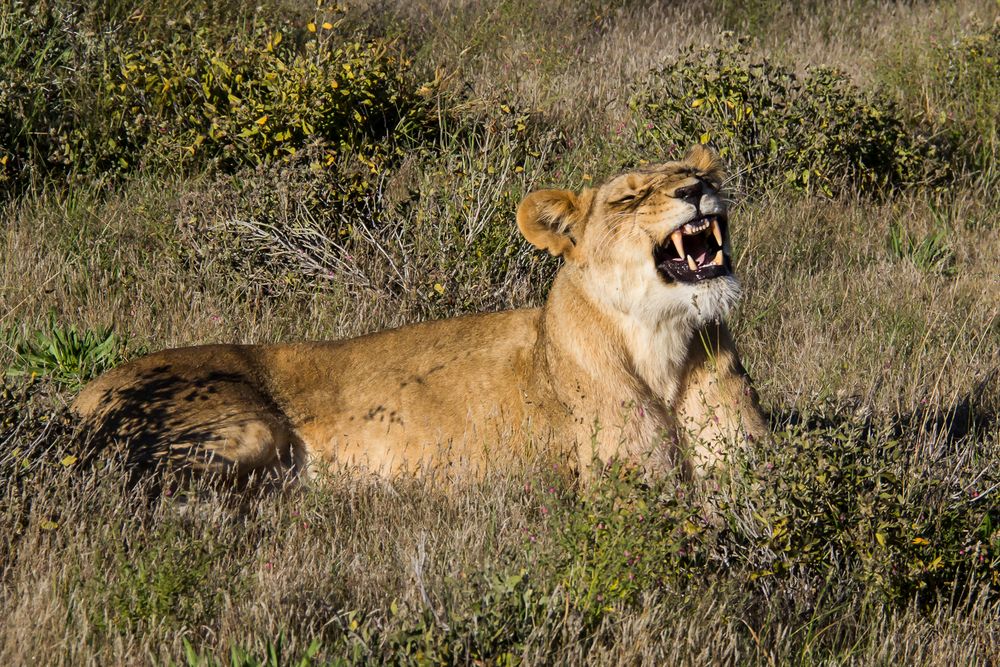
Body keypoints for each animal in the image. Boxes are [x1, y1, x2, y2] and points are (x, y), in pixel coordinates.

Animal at [74, 144, 764, 482]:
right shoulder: (627, 488)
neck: (661, 344)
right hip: (244, 432)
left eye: (694, 173)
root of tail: (78, 393)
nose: (697, 190)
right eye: (628, 198)